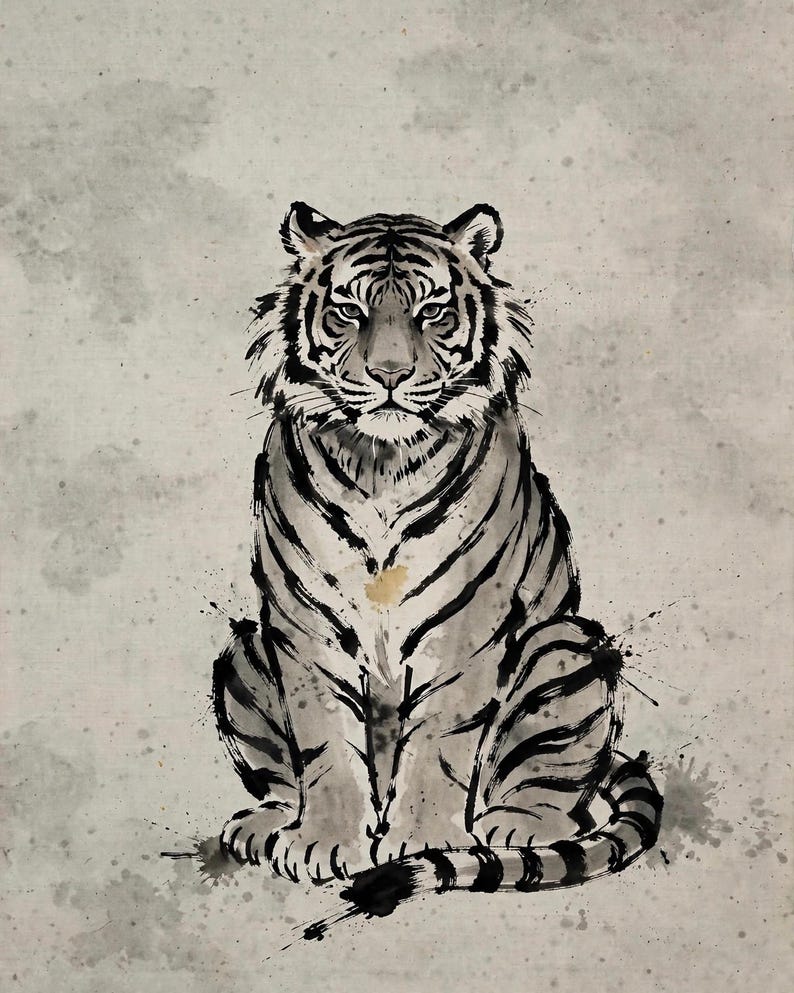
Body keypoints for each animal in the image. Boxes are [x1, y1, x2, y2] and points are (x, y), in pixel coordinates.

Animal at [212, 201, 662, 905]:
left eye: (431, 312)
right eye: (349, 310)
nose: (391, 376)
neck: (380, 466)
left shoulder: (465, 626)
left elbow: (441, 738)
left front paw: (423, 841)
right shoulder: (303, 626)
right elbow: (323, 741)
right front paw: (324, 842)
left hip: (564, 645)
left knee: (550, 792)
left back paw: (513, 826)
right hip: (244, 651)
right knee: (282, 778)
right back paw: (268, 824)